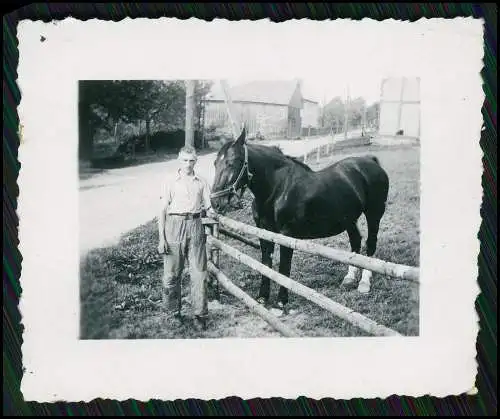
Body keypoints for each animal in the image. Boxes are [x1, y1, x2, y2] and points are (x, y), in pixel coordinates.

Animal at [209, 128, 388, 312]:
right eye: (215, 163)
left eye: (233, 162)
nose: (216, 202)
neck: (278, 189)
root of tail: (371, 161)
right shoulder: (264, 233)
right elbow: (266, 263)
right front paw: (262, 298)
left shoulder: (287, 235)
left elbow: (284, 267)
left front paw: (281, 303)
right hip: (349, 220)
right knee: (356, 242)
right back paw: (349, 279)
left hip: (374, 214)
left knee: (371, 244)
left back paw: (364, 283)